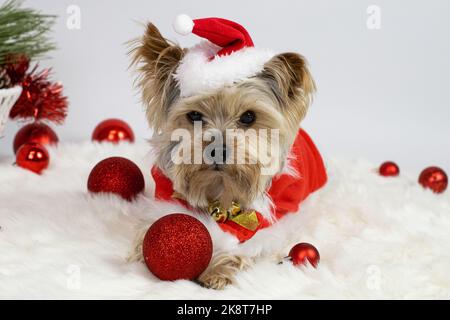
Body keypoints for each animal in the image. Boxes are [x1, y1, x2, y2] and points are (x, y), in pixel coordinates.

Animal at [128, 15, 326, 290]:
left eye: (249, 116)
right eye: (194, 115)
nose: (217, 150)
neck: (220, 189)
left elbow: (248, 247)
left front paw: (219, 268)